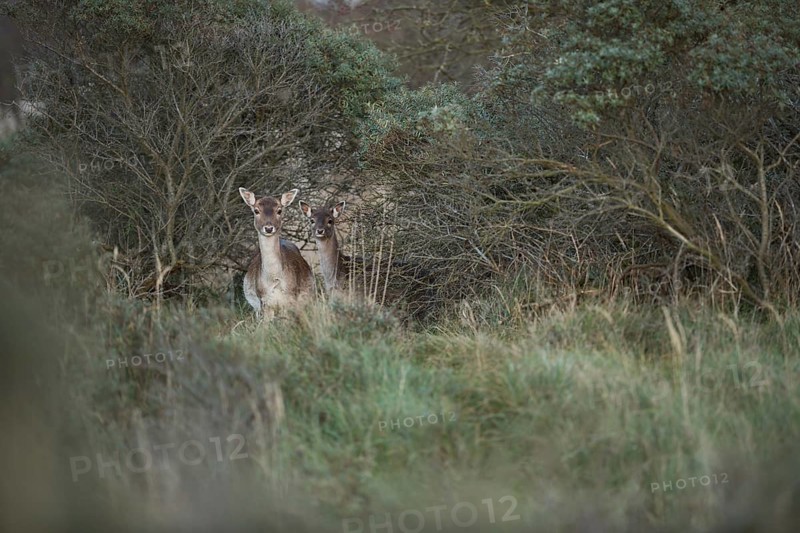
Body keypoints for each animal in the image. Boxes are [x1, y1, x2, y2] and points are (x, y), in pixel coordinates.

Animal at [239, 187, 314, 319]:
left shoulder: (290, 298)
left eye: (279, 210)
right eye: (256, 210)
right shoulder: (264, 301)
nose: (269, 228)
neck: (274, 280)